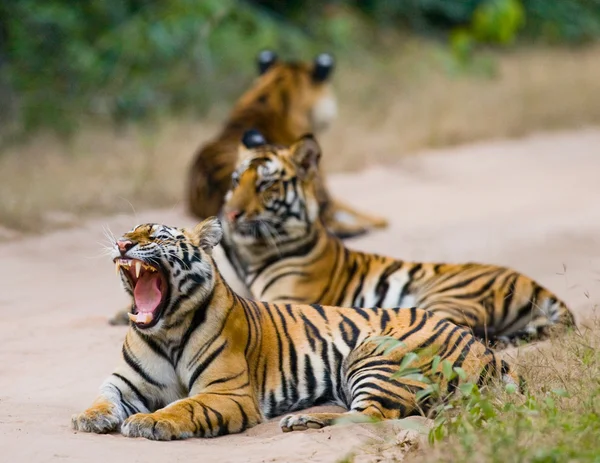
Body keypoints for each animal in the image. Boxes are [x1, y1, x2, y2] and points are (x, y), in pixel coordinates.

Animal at [70, 218, 520, 442]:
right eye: (127, 233)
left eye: (159, 236)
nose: (122, 245)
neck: (167, 329)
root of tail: (480, 346)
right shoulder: (124, 383)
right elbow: (103, 398)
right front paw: (87, 419)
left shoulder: (228, 394)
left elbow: (184, 406)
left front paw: (150, 422)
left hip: (374, 358)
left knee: (375, 416)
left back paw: (301, 422)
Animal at [220, 130, 576, 348]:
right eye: (236, 181)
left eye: (265, 185)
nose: (231, 214)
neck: (250, 254)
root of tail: (534, 282)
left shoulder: (284, 303)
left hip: (447, 297)